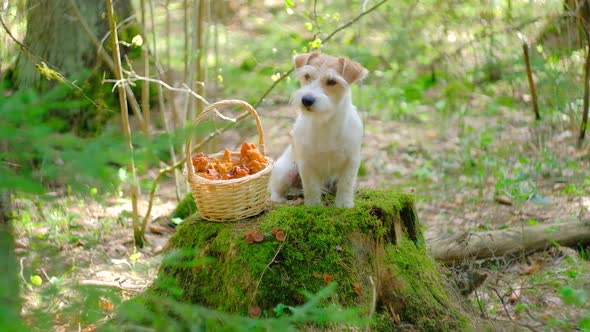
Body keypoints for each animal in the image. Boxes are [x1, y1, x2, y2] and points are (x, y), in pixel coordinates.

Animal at [272, 51, 370, 208]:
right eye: (307, 76)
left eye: (331, 81)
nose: (306, 100)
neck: (325, 122)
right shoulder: (306, 163)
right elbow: (311, 187)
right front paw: (313, 206)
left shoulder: (351, 161)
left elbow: (346, 185)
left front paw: (344, 205)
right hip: (285, 171)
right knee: (276, 189)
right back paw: (278, 199)